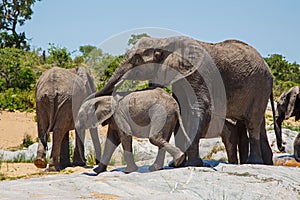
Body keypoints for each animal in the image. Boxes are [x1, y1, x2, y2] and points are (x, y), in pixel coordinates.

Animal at [92, 36, 282, 166]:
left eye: (137, 59)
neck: (166, 41)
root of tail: (269, 71)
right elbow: (182, 109)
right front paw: (178, 164)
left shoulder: (198, 73)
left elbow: (199, 109)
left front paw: (192, 164)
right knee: (257, 123)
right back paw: (266, 163)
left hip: (259, 86)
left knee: (252, 123)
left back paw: (253, 162)